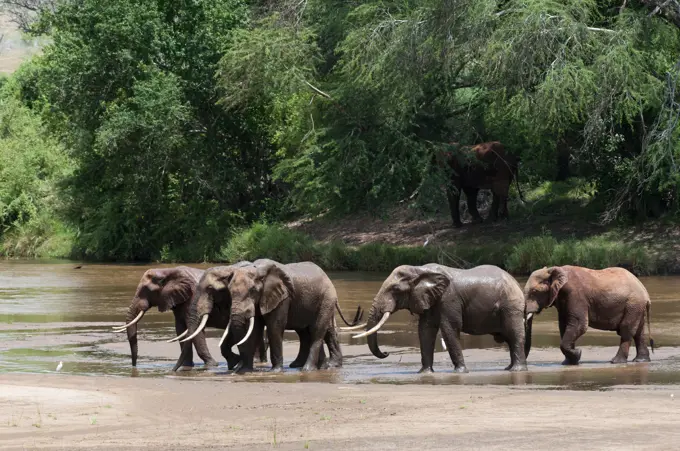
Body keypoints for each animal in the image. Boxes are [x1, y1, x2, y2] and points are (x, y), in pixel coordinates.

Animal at [226, 260, 362, 372]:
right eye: (229, 292)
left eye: (252, 291)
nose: (236, 367)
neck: (257, 269)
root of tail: (327, 276)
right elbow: (255, 329)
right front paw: (244, 371)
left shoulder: (282, 297)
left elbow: (274, 327)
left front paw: (275, 371)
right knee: (313, 332)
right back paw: (320, 366)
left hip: (326, 299)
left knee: (316, 330)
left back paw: (309, 369)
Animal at [356, 264, 532, 374]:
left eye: (395, 289)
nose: (386, 353)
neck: (420, 270)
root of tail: (517, 283)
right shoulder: (428, 299)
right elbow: (425, 331)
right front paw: (424, 372)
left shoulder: (449, 299)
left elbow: (450, 329)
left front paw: (460, 372)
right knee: (509, 338)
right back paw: (508, 369)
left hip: (511, 307)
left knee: (514, 336)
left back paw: (517, 370)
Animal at [520, 266, 652, 366]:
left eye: (534, 292)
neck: (554, 270)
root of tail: (645, 293)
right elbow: (564, 325)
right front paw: (570, 362)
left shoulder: (575, 294)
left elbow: (579, 325)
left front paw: (578, 353)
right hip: (637, 307)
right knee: (639, 332)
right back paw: (640, 360)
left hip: (633, 304)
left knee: (626, 330)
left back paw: (616, 362)